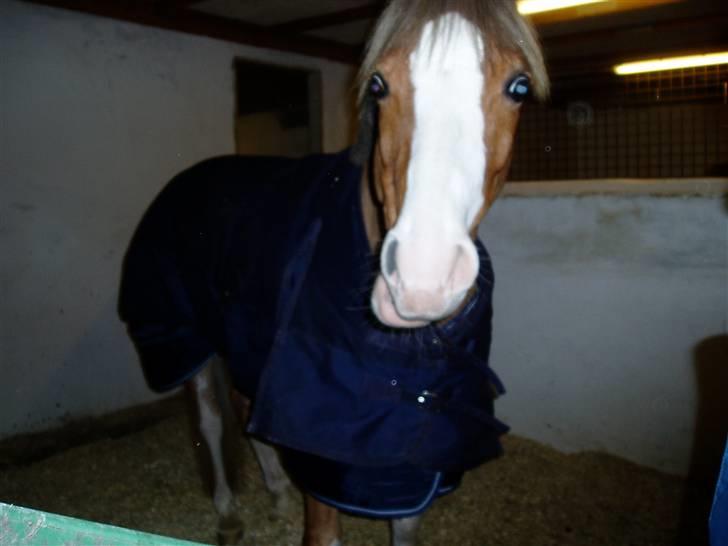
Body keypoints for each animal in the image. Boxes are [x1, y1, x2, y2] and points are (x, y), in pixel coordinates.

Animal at [118, 1, 548, 545]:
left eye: (519, 87)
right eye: (378, 84)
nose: (422, 280)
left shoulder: (412, 462)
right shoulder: (323, 461)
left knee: (244, 407)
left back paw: (277, 494)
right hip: (184, 340)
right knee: (212, 422)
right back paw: (228, 514)